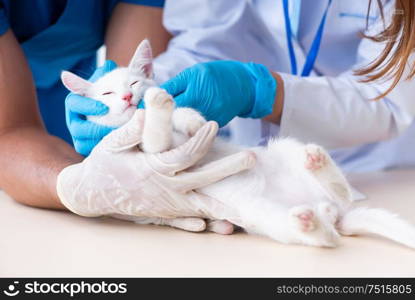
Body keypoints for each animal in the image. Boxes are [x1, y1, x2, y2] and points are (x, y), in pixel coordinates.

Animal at [60, 39, 415, 248]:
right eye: (106, 93)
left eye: (134, 82)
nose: (127, 97)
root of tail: (333, 211)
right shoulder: (153, 153)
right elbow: (155, 140)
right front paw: (159, 109)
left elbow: (180, 117)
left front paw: (184, 115)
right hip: (264, 217)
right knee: (325, 236)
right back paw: (311, 220)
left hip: (284, 147)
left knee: (338, 194)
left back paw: (318, 164)